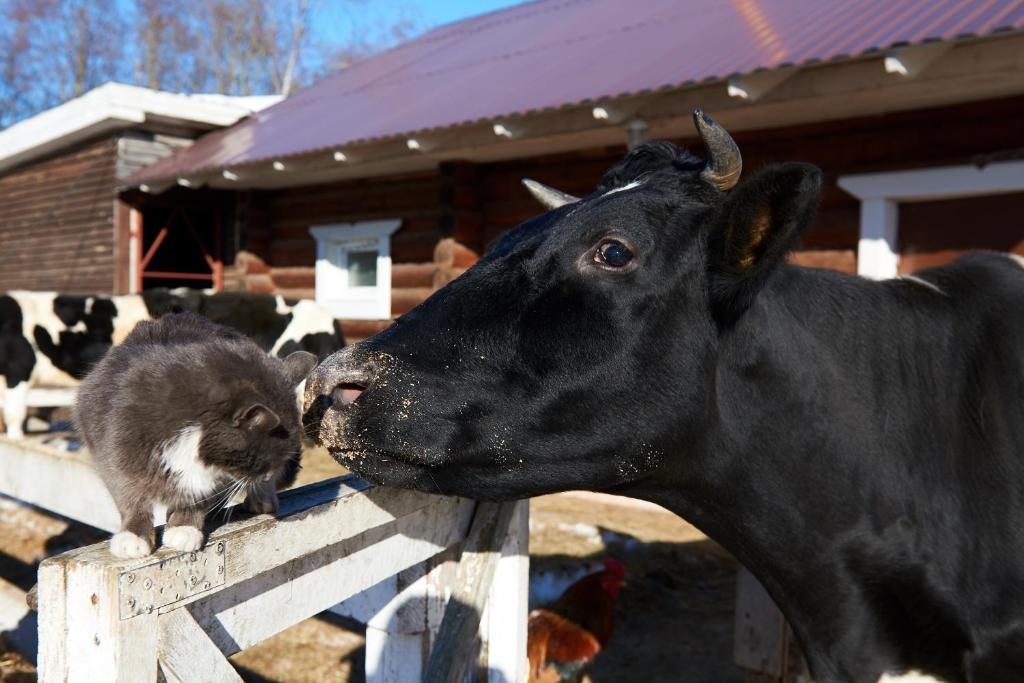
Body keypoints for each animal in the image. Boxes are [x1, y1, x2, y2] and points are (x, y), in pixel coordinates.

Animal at [76, 313, 317, 557]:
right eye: (262, 457)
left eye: (280, 457)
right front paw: (134, 536)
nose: (267, 475)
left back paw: (262, 499)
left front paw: (184, 528)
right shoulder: (114, 452)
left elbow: (200, 498)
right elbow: (130, 497)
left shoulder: (219, 478)